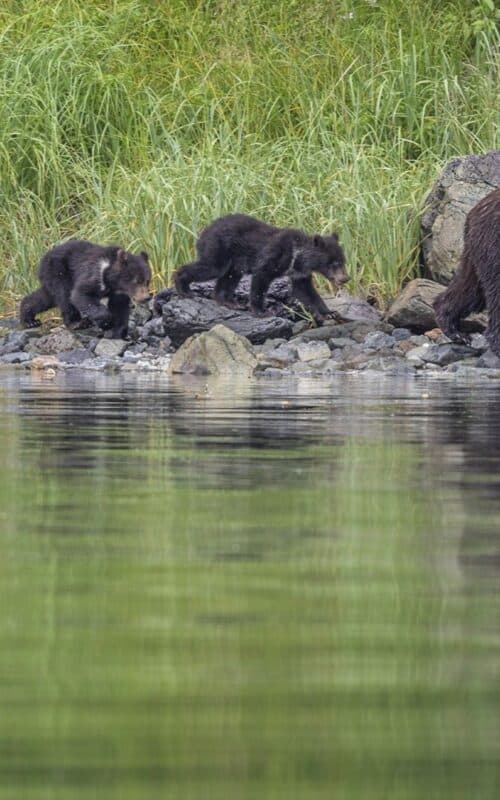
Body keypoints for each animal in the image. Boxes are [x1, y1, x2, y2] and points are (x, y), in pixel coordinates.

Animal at [20, 240, 151, 339]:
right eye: (136, 280)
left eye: (147, 281)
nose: (146, 297)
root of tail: (44, 257)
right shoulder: (94, 275)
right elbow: (81, 295)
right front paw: (106, 322)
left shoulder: (119, 294)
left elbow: (120, 309)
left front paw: (118, 332)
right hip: (59, 272)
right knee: (64, 296)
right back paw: (76, 322)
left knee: (46, 297)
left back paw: (30, 319)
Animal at [170, 214, 349, 322]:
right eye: (334, 263)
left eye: (343, 261)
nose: (345, 278)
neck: (297, 256)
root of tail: (203, 233)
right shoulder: (274, 258)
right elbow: (260, 279)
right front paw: (262, 311)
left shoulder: (299, 273)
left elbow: (306, 291)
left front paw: (329, 312)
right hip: (218, 248)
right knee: (211, 267)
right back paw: (184, 289)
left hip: (235, 261)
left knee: (229, 277)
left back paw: (229, 302)